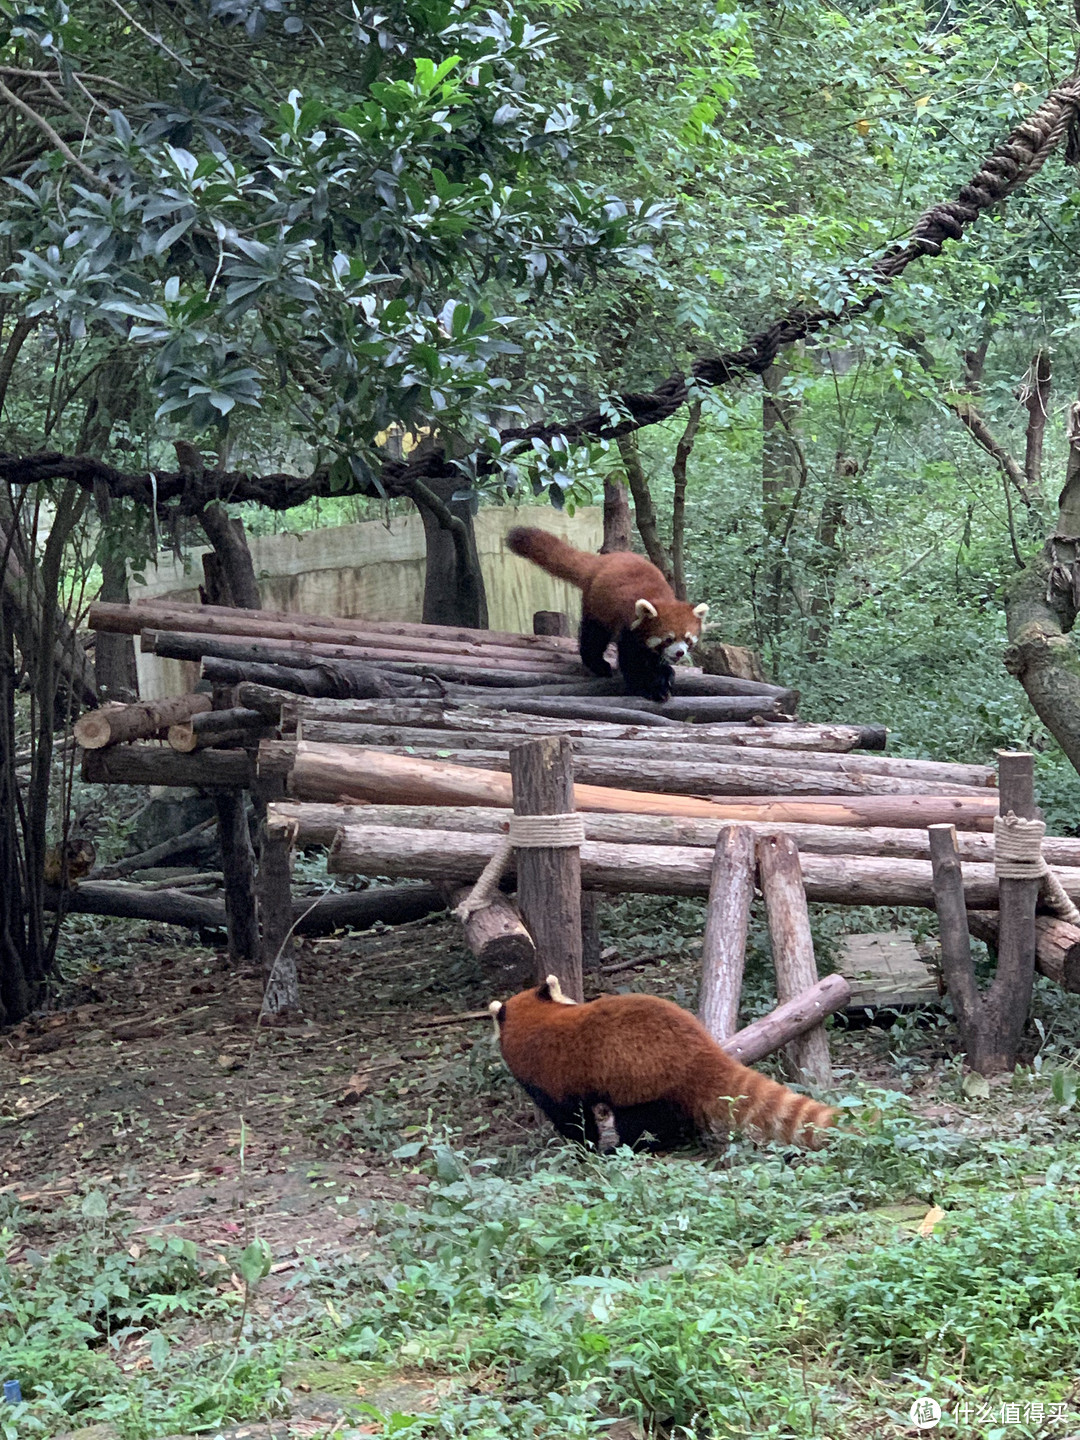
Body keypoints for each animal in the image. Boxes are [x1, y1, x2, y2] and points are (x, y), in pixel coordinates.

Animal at [489, 973, 835, 1152]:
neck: (539, 1020)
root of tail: (700, 1049)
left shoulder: (550, 1079)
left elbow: (573, 1120)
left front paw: (583, 1150)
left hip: (641, 1079)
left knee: (641, 1123)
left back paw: (631, 1147)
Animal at [506, 529, 711, 708]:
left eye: (688, 640)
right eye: (668, 639)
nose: (680, 653)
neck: (659, 598)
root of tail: (603, 560)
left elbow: (654, 660)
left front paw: (664, 675)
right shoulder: (628, 629)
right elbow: (631, 662)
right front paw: (649, 688)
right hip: (597, 607)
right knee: (593, 637)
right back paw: (598, 665)